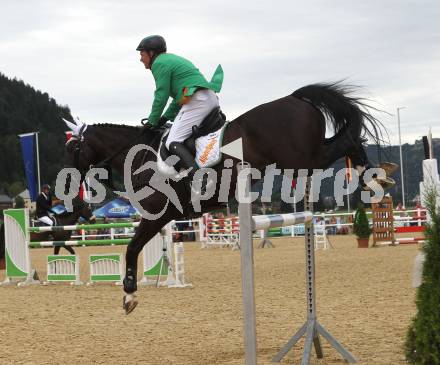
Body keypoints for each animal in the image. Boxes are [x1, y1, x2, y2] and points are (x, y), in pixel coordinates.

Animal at [62, 82, 392, 312]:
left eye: (73, 148)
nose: (70, 183)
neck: (139, 156)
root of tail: (295, 98)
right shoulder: (163, 218)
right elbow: (136, 249)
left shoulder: (157, 216)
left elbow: (131, 249)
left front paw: (129, 294)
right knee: (345, 138)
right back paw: (375, 174)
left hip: (303, 159)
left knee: (345, 140)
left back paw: (372, 174)